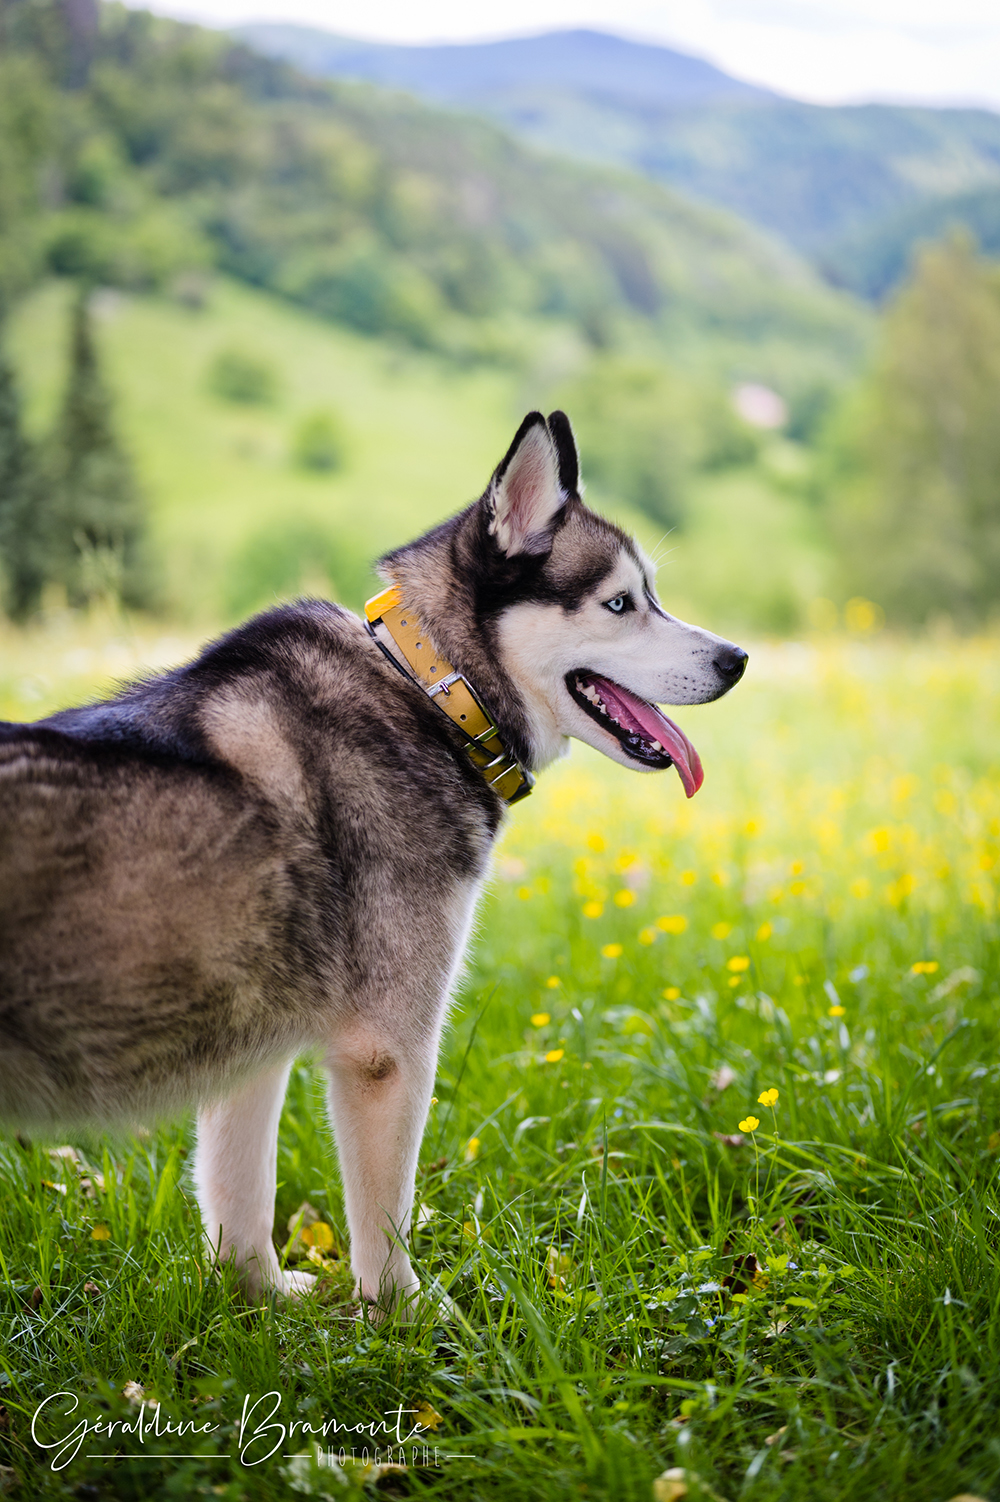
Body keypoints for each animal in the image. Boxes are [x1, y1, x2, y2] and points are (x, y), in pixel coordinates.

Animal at [0, 411, 746, 1315]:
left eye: (652, 595)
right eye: (619, 603)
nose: (737, 660)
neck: (431, 692)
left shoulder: (252, 1044)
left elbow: (240, 1196)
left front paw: (258, 1301)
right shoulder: (388, 1047)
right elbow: (384, 1213)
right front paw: (412, 1318)